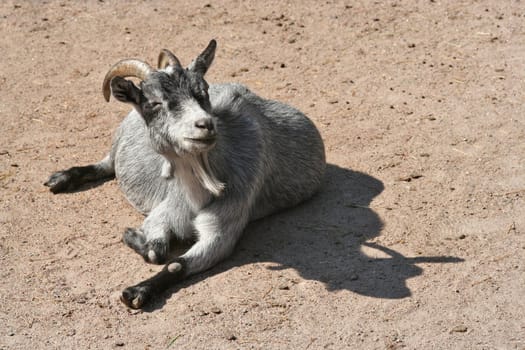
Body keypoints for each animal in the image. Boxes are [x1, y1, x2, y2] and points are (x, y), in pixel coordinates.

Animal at [44, 40, 324, 308]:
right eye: (154, 103)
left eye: (203, 92)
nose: (204, 125)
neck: (198, 194)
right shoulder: (162, 213)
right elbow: (155, 250)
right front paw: (134, 237)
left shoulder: (223, 230)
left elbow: (172, 262)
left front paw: (137, 291)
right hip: (119, 138)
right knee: (106, 164)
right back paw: (61, 178)